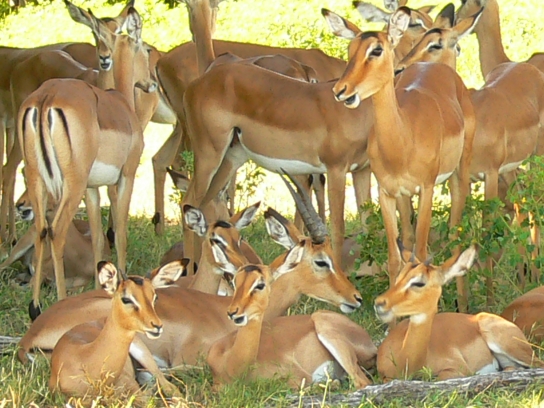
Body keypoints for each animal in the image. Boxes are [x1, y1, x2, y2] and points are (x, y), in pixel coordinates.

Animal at [19, 6, 157, 317]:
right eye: (146, 48)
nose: (152, 83)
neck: (122, 105)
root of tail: (46, 98)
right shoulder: (125, 177)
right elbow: (120, 232)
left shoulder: (93, 189)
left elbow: (95, 238)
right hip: (72, 184)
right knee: (55, 231)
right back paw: (57, 302)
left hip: (36, 178)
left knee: (39, 229)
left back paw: (34, 307)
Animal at [208, 263, 376, 390]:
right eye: (235, 282)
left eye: (260, 284)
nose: (232, 312)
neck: (230, 364)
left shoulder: (300, 376)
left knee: (362, 382)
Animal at [324, 7, 475, 311]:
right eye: (350, 49)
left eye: (376, 49)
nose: (341, 90)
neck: (403, 140)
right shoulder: (387, 193)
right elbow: (396, 258)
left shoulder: (426, 190)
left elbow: (422, 254)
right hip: (405, 198)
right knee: (407, 240)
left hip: (459, 174)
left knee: (455, 232)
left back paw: (463, 305)